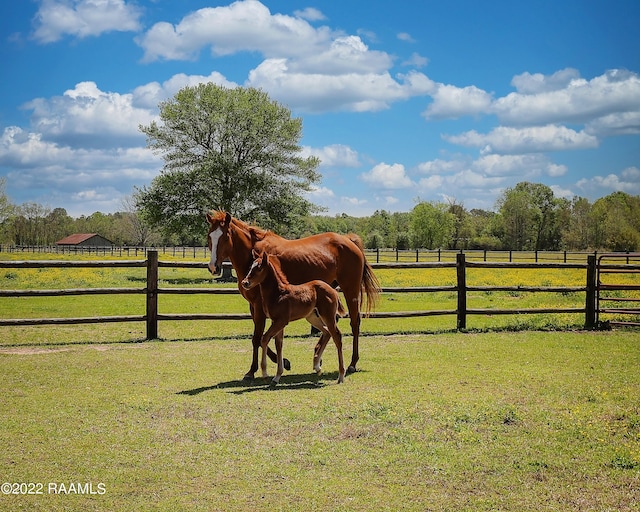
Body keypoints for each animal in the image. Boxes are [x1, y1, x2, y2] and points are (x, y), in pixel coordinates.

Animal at [241, 250, 350, 386]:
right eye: (251, 267)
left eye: (259, 268)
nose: (245, 283)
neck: (277, 293)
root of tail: (334, 291)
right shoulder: (276, 322)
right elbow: (279, 344)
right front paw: (277, 377)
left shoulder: (281, 321)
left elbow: (264, 338)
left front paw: (265, 374)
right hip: (312, 317)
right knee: (327, 332)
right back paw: (317, 367)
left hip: (328, 316)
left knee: (337, 336)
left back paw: (340, 375)